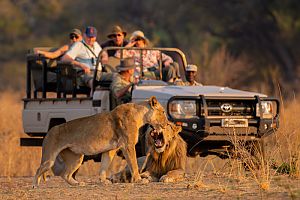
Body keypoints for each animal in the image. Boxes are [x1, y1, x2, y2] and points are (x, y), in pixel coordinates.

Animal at [33, 96, 169, 187]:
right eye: (163, 112)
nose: (167, 124)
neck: (140, 115)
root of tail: (50, 130)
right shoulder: (128, 145)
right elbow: (133, 163)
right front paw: (139, 180)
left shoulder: (110, 149)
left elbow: (104, 165)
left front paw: (103, 181)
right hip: (50, 158)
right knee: (39, 169)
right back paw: (35, 185)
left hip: (76, 158)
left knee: (65, 174)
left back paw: (77, 183)